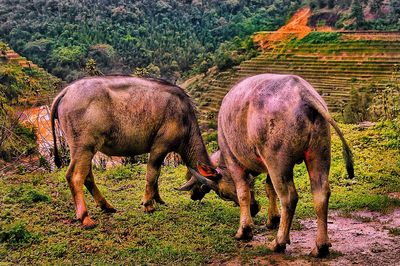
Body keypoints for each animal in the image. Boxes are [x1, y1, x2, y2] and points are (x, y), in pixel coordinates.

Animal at [51, 76, 212, 228]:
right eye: (206, 188)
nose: (195, 197)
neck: (185, 120)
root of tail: (67, 91)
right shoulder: (160, 147)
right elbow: (152, 174)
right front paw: (148, 205)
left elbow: (157, 175)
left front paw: (158, 199)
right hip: (84, 147)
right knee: (75, 177)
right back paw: (85, 217)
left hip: (84, 150)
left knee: (88, 176)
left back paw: (106, 206)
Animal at [183, 74, 354, 256]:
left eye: (223, 194)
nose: (254, 209)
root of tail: (303, 93)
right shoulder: (267, 168)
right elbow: (269, 188)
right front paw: (273, 219)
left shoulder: (234, 161)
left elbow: (243, 193)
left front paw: (244, 230)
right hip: (318, 153)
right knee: (321, 193)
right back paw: (320, 246)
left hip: (277, 161)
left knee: (289, 197)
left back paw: (279, 242)